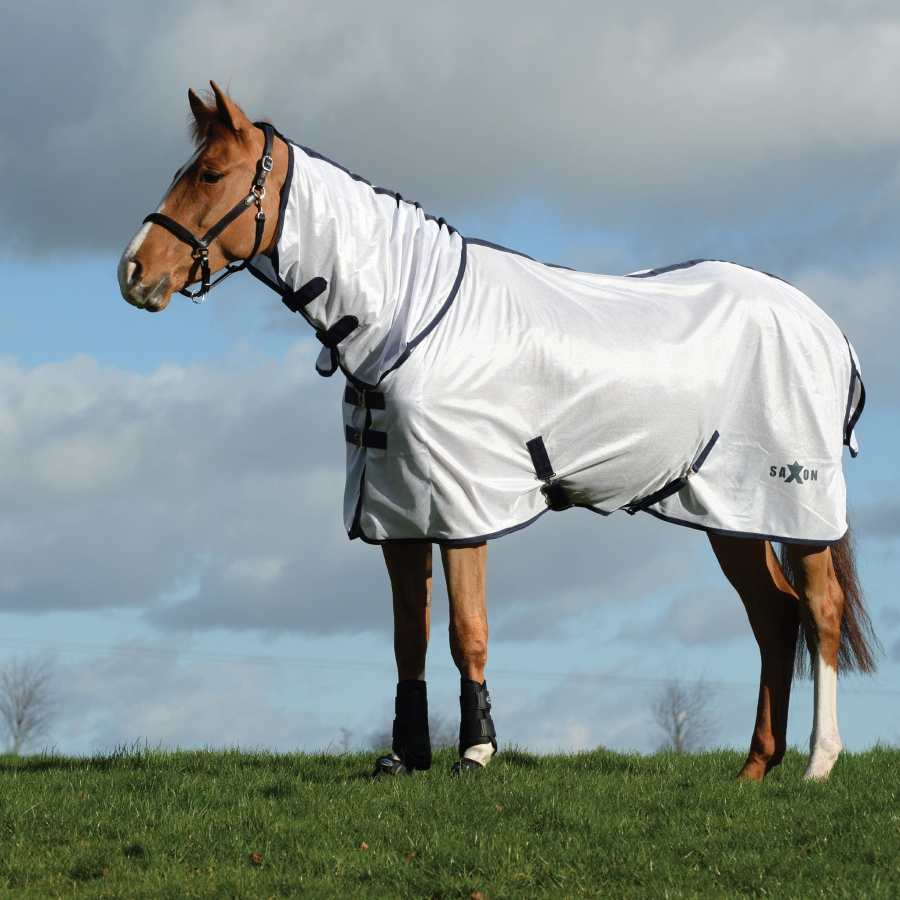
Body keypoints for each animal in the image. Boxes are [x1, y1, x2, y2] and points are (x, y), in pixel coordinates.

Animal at [118, 82, 878, 781]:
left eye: (210, 174)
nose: (134, 272)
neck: (410, 317)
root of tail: (829, 329)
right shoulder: (397, 514)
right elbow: (409, 638)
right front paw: (405, 755)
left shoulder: (462, 506)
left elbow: (466, 630)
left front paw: (476, 750)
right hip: (729, 512)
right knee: (775, 617)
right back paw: (755, 770)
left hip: (794, 503)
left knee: (820, 610)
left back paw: (818, 763)